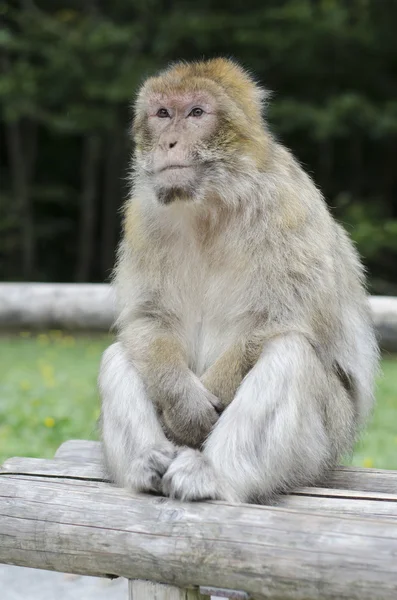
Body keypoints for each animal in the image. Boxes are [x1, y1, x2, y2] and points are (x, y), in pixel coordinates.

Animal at [98, 58, 378, 504]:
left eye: (196, 113)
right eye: (163, 113)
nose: (169, 142)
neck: (210, 206)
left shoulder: (286, 204)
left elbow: (280, 320)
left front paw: (211, 392)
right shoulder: (141, 217)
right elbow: (148, 318)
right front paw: (184, 402)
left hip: (325, 444)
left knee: (291, 353)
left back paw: (211, 475)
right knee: (123, 353)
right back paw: (148, 466)